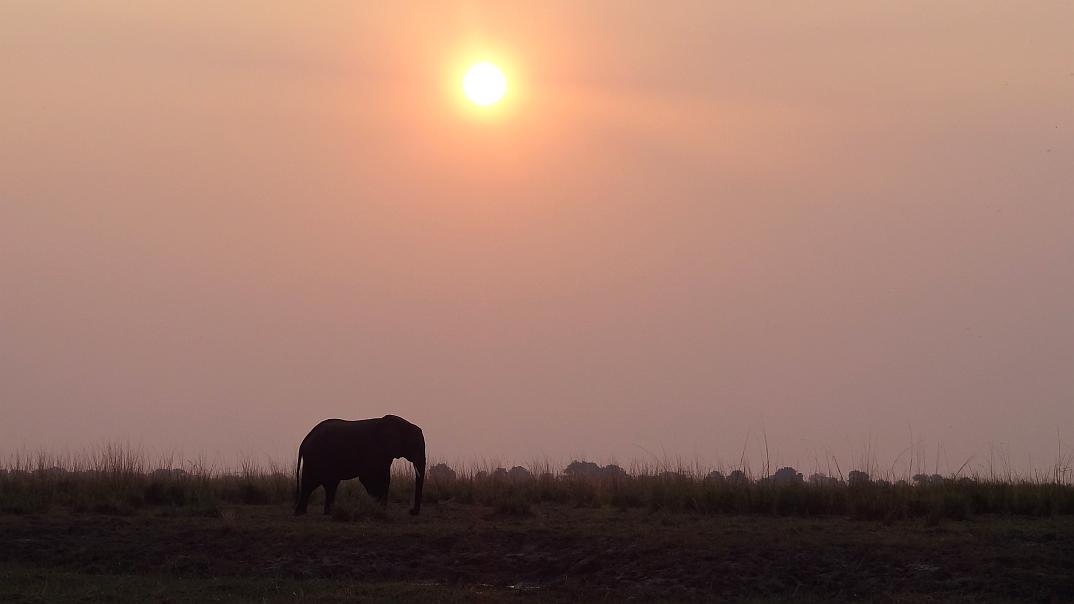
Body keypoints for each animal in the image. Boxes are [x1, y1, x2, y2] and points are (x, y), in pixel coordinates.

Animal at [298, 412, 427, 511]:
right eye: (416, 445)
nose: (411, 511)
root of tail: (304, 440)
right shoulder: (374, 450)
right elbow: (367, 477)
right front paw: (378, 507)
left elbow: (386, 478)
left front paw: (382, 510)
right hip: (316, 457)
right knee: (314, 483)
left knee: (323, 484)